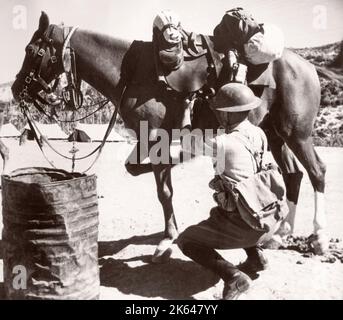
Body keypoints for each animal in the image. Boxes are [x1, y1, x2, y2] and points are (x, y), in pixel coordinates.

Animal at [10, 13, 328, 262]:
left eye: (31, 49)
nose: (15, 89)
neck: (132, 72)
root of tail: (306, 64)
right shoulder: (148, 141)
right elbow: (137, 169)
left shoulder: (154, 139)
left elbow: (164, 192)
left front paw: (167, 240)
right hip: (275, 134)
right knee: (293, 175)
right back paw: (281, 233)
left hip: (297, 134)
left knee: (317, 172)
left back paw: (319, 238)